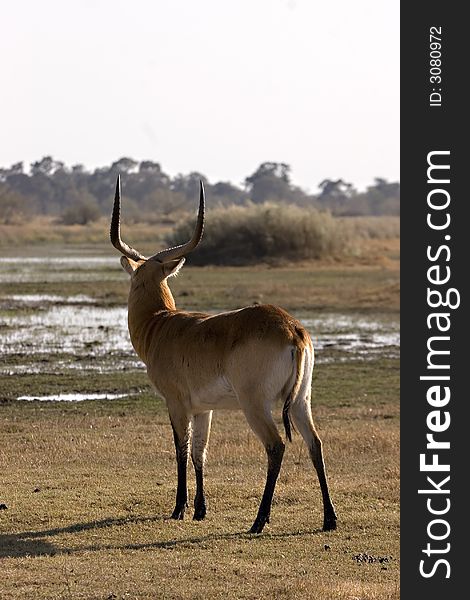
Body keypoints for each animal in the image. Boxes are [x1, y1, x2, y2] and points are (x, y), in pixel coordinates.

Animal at [110, 175, 338, 536]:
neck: (161, 323)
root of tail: (292, 329)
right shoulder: (204, 408)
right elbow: (200, 452)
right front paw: (200, 510)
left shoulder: (176, 403)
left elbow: (181, 449)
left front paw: (179, 509)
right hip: (301, 399)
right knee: (315, 444)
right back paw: (329, 519)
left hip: (255, 404)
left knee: (276, 446)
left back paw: (258, 521)